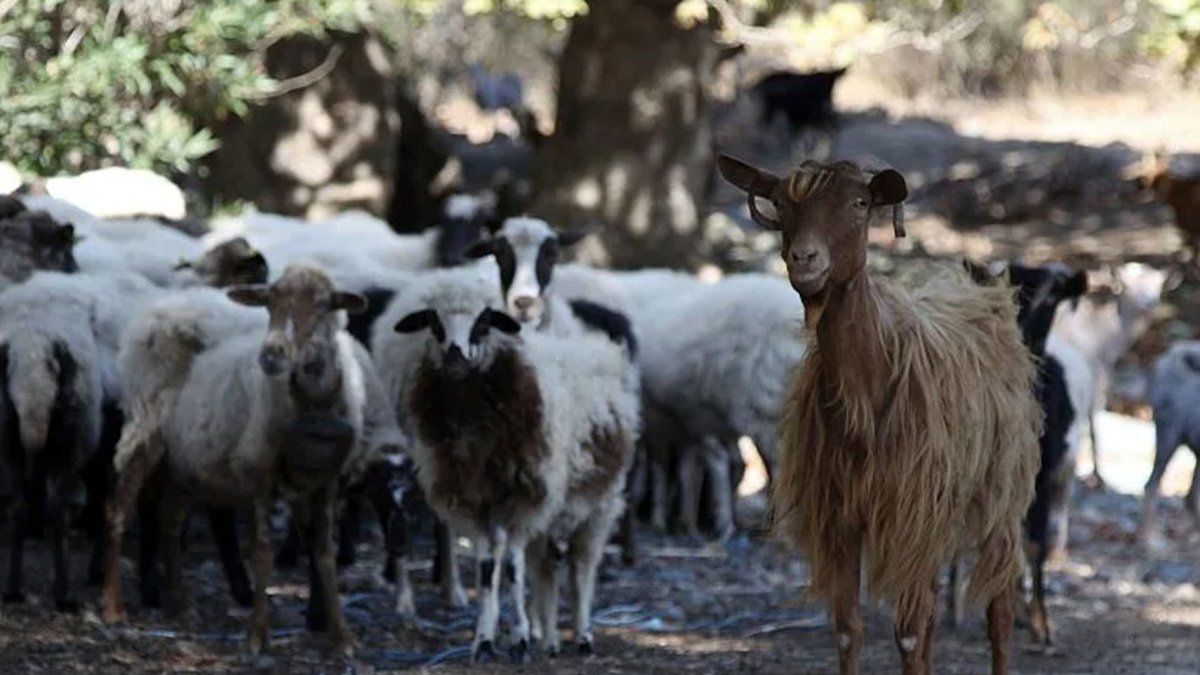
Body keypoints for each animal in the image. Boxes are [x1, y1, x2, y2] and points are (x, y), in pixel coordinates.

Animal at [715, 153, 1046, 672]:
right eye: (782, 203)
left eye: (860, 203)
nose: (804, 259)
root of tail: (984, 295)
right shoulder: (841, 517)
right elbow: (849, 631)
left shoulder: (909, 512)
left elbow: (907, 634)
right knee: (933, 612)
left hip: (1001, 494)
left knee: (999, 610)